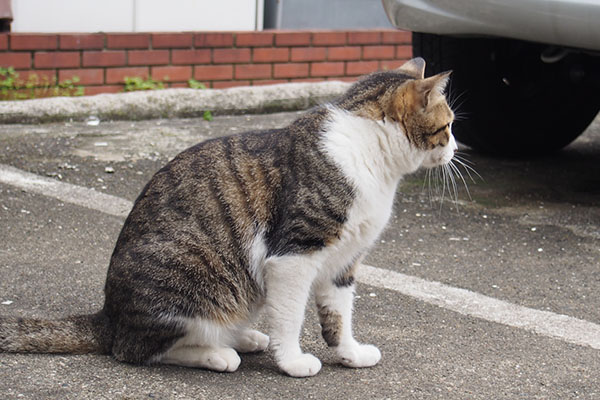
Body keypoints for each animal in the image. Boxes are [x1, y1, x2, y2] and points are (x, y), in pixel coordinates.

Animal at [0, 57, 454, 378]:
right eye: (448, 126)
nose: (455, 148)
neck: (372, 156)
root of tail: (108, 316)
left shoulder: (343, 261)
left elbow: (339, 315)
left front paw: (350, 353)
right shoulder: (294, 255)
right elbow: (290, 317)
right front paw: (292, 362)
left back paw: (246, 338)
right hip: (193, 275)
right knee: (137, 350)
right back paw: (218, 354)